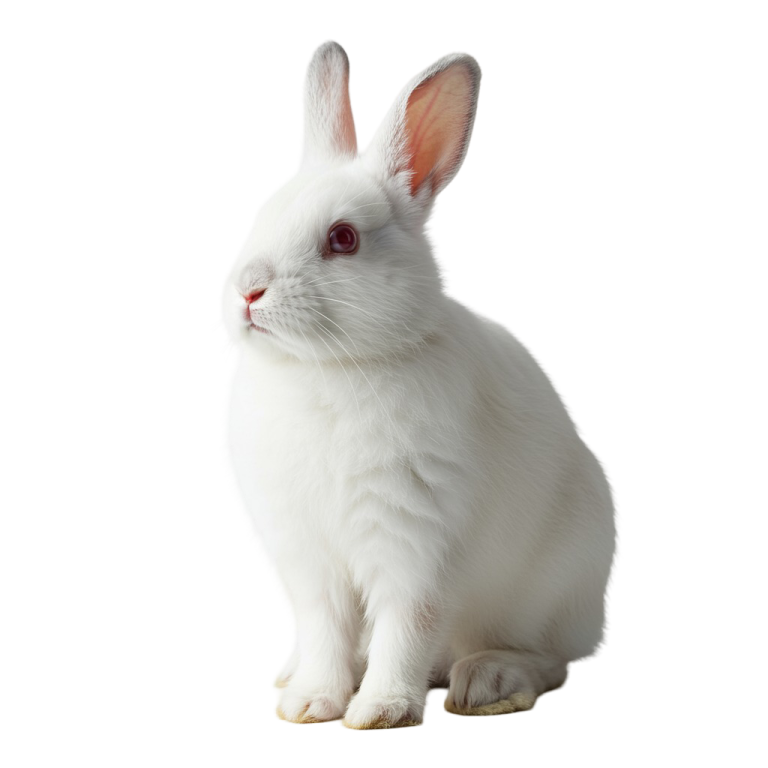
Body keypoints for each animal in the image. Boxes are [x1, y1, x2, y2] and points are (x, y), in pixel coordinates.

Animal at [216, 39, 621, 730]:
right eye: (261, 213)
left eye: (343, 239)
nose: (247, 292)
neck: (327, 368)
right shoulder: (307, 558)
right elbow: (323, 630)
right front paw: (311, 703)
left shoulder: (416, 542)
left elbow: (407, 626)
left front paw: (380, 710)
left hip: (550, 596)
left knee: (552, 660)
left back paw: (487, 683)